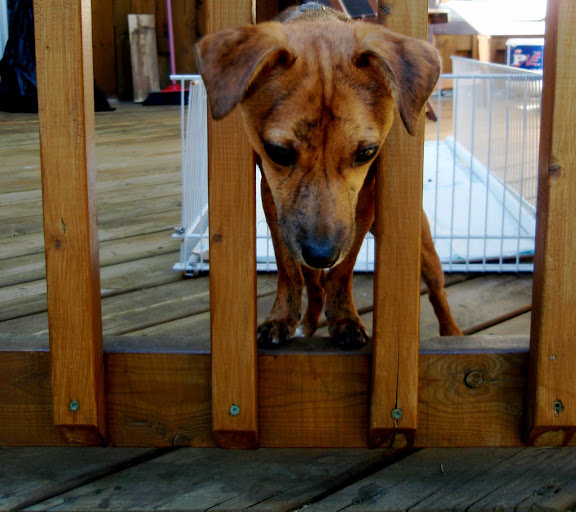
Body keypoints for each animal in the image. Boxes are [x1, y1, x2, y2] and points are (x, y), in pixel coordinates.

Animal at [194, 2, 462, 347]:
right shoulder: (274, 204)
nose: (321, 255)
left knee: (437, 289)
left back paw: (452, 333)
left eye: (367, 153)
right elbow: (288, 268)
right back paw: (306, 324)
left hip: (423, 248)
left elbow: (344, 269)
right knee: (314, 284)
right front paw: (282, 318)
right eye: (278, 152)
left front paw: (345, 319)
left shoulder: (364, 204)